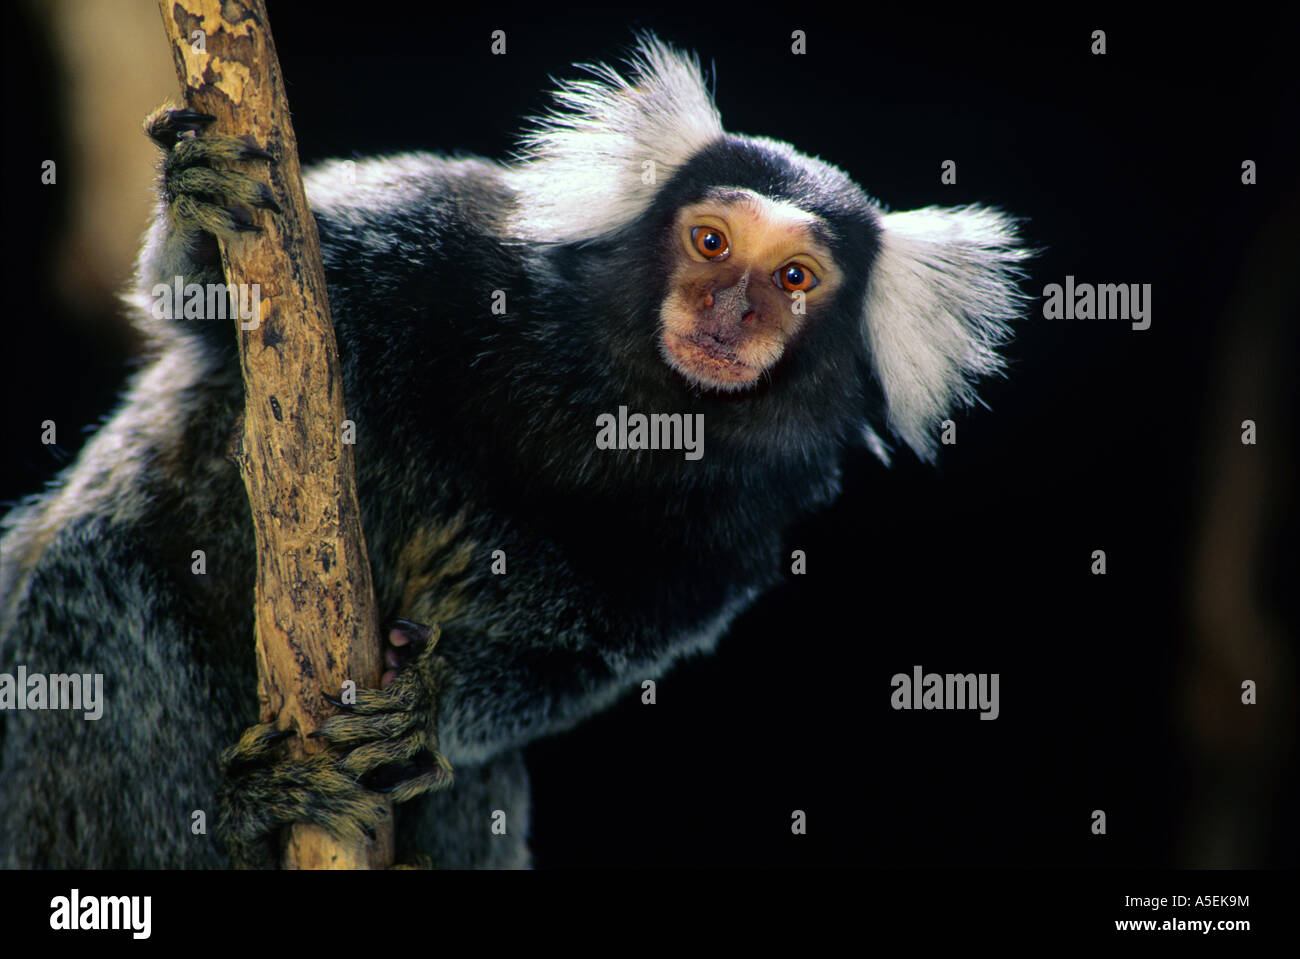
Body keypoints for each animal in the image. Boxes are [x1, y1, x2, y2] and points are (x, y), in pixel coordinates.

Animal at [0, 36, 1028, 868]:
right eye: (710, 241)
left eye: (794, 278)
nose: (731, 314)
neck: (619, 406)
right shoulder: (432, 235)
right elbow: (216, 319)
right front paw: (202, 217)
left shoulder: (736, 531)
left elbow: (566, 667)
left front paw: (426, 707)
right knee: (95, 592)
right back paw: (246, 810)